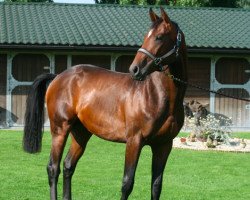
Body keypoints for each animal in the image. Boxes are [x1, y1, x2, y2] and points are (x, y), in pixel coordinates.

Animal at [23, 7, 187, 200]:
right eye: (146, 36)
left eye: (159, 37)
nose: (135, 69)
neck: (156, 95)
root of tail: (58, 77)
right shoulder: (134, 141)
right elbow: (127, 183)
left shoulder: (164, 146)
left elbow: (156, 186)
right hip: (59, 130)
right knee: (53, 169)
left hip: (81, 133)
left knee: (68, 165)